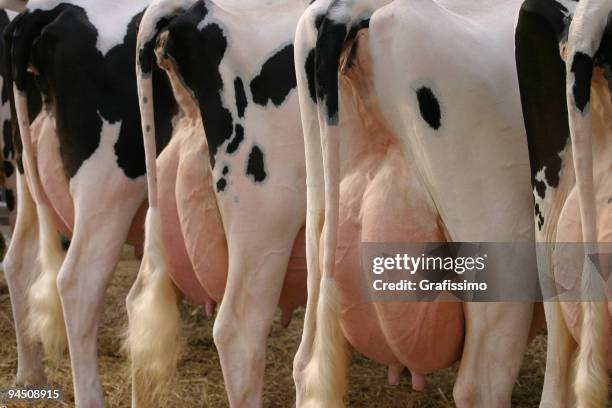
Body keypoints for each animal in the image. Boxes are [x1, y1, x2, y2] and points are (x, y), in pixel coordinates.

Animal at [2, 1, 178, 406]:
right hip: (110, 184)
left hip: (27, 173)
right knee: (77, 282)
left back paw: (29, 374)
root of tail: (50, 11)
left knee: (18, 262)